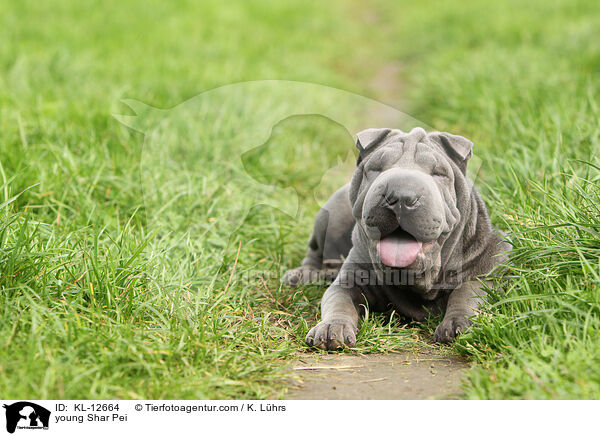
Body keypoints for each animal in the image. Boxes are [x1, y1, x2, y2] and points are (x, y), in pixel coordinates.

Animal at [284, 126, 508, 348]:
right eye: (376, 168)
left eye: (439, 173)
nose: (401, 196)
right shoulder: (350, 280)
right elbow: (339, 301)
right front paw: (332, 326)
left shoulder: (486, 269)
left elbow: (468, 294)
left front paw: (458, 324)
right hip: (332, 211)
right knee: (316, 252)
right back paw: (303, 274)